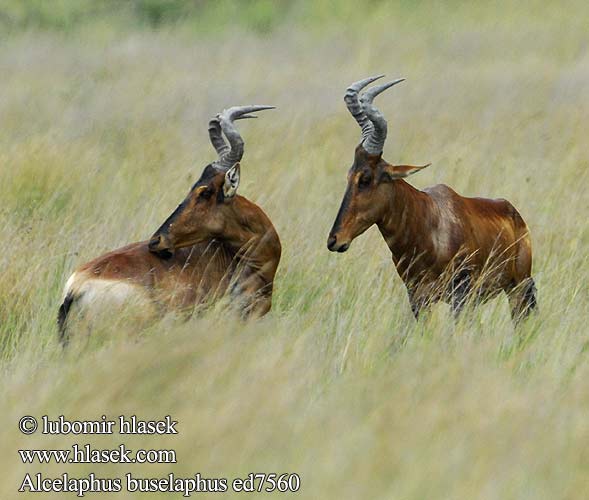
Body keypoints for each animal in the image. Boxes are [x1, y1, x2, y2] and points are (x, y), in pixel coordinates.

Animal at [326, 76, 536, 322]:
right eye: (350, 174)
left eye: (366, 178)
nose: (334, 240)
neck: (427, 225)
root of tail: (511, 210)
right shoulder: (417, 298)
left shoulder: (460, 294)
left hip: (518, 286)